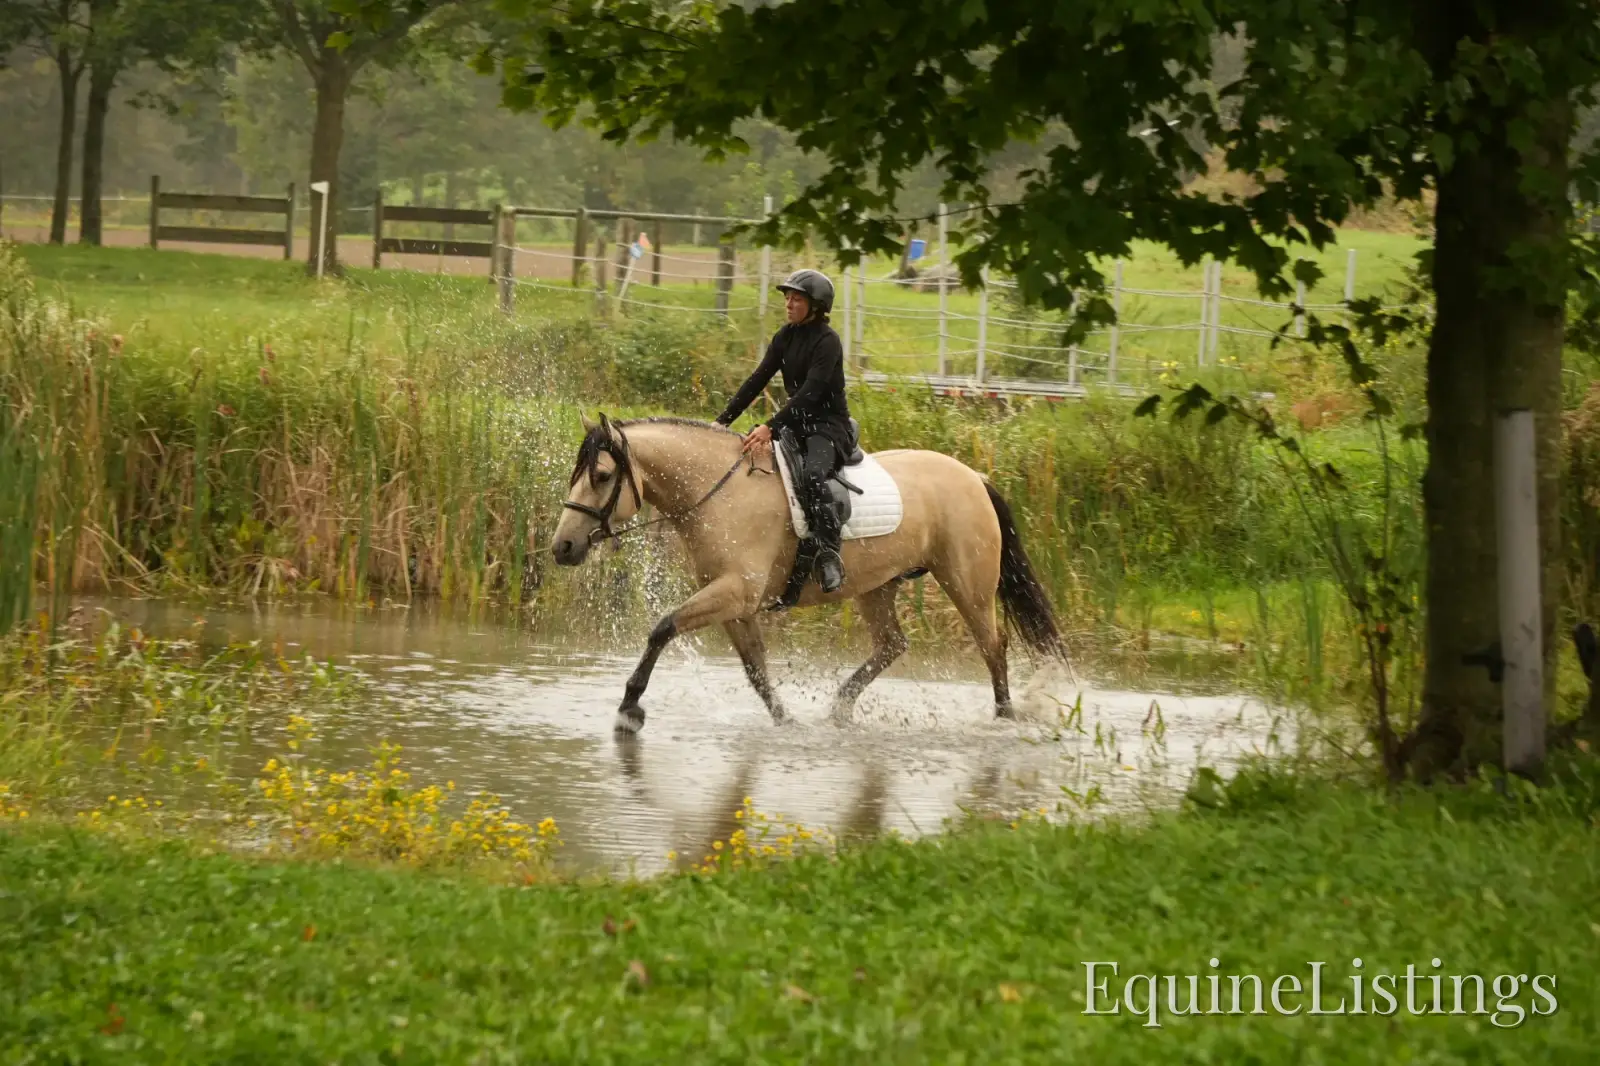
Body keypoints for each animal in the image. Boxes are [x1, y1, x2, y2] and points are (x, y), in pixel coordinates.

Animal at [551, 413, 1067, 734]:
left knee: (993, 646)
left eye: (601, 476)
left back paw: (1004, 718)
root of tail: (974, 477)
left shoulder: (733, 593)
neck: (718, 491)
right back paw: (838, 709)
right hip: (877, 586)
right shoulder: (735, 604)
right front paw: (786, 722)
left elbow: (662, 628)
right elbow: (756, 669)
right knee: (893, 645)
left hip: (967, 584)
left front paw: (629, 709)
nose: (563, 547)